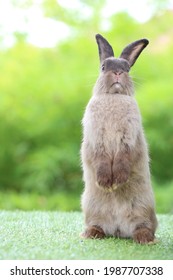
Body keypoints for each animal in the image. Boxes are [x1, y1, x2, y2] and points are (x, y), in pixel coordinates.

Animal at [80, 34, 157, 244]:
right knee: (97, 225)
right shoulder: (96, 138)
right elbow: (101, 159)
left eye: (127, 68)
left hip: (143, 208)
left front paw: (118, 181)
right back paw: (90, 234)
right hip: (91, 207)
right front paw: (106, 183)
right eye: (103, 67)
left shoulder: (128, 138)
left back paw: (145, 239)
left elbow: (123, 158)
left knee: (144, 227)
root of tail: (118, 230)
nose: (117, 72)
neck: (114, 97)